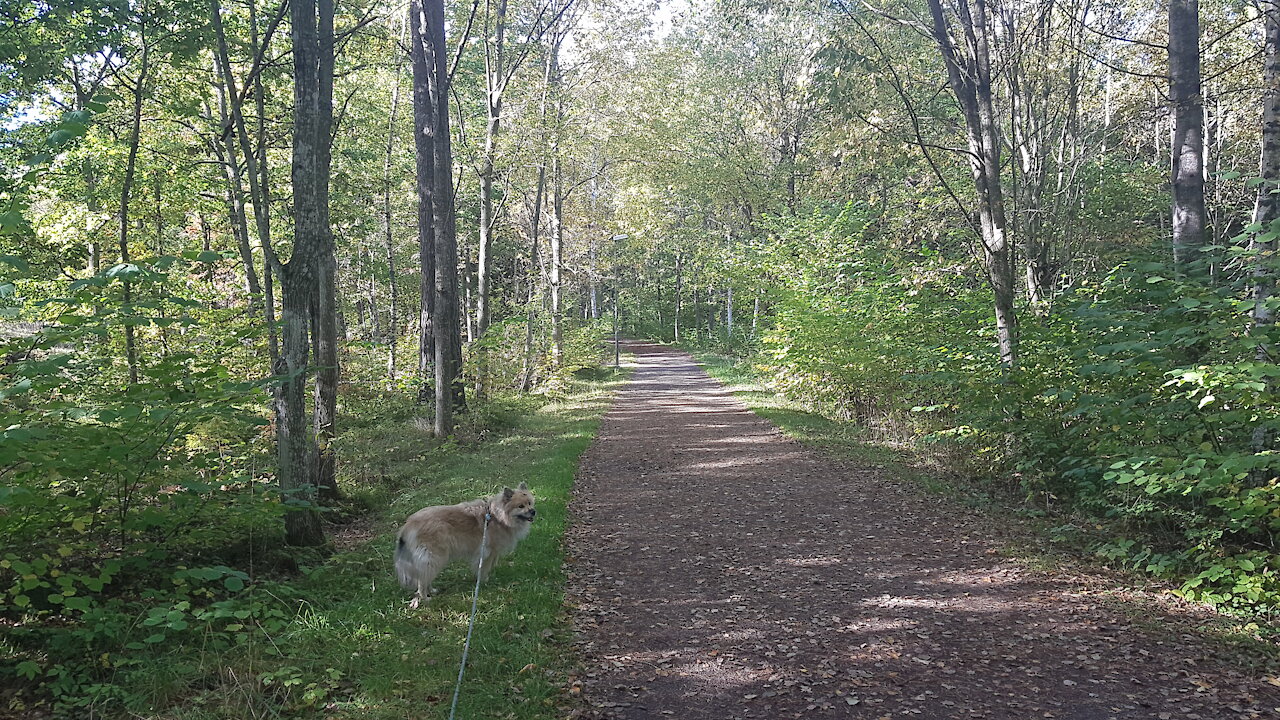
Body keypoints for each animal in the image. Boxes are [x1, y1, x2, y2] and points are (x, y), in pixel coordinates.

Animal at [389, 481, 529, 604]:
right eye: (520, 506)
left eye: (529, 503)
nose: (532, 511)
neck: (497, 516)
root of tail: (408, 525)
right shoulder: (488, 552)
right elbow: (484, 568)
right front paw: (484, 581)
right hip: (434, 557)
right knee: (422, 580)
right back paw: (425, 597)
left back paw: (432, 590)